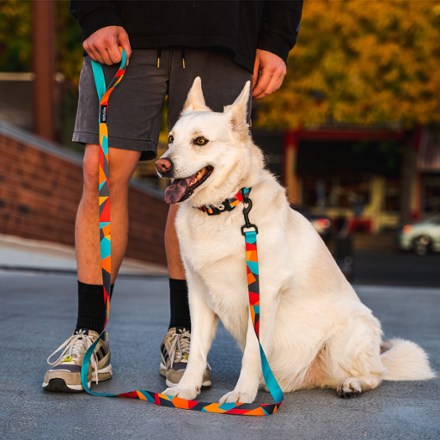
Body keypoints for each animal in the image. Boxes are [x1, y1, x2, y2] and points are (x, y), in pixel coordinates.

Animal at [156, 77, 434, 404]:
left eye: (200, 141)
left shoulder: (262, 297)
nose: (161, 165)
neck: (225, 209)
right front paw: (187, 389)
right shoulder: (199, 296)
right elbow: (198, 353)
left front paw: (241, 394)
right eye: (171, 139)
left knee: (374, 375)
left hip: (350, 332)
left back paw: (352, 384)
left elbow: (252, 354)